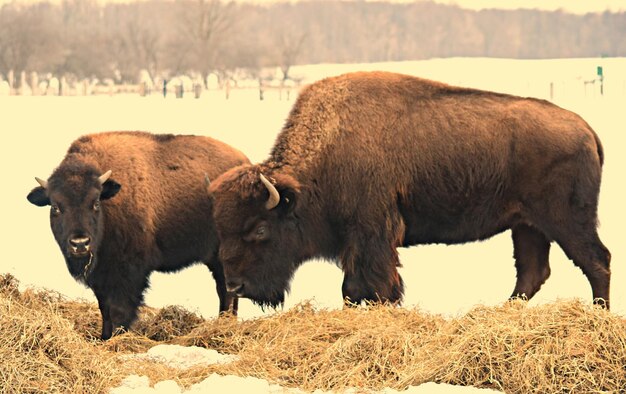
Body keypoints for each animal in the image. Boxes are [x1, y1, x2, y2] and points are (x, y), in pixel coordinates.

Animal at [28, 132, 249, 338]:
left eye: (96, 203)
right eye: (55, 207)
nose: (80, 243)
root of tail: (245, 162)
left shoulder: (128, 272)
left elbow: (119, 309)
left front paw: (117, 338)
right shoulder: (101, 276)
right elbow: (104, 309)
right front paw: (104, 337)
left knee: (225, 291)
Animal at [207, 71, 608, 310]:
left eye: (259, 229)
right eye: (221, 229)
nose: (235, 286)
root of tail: (587, 130)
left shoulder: (372, 233)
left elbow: (369, 284)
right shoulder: (357, 241)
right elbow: (353, 287)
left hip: (567, 221)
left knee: (597, 261)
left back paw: (598, 314)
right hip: (526, 225)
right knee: (532, 272)